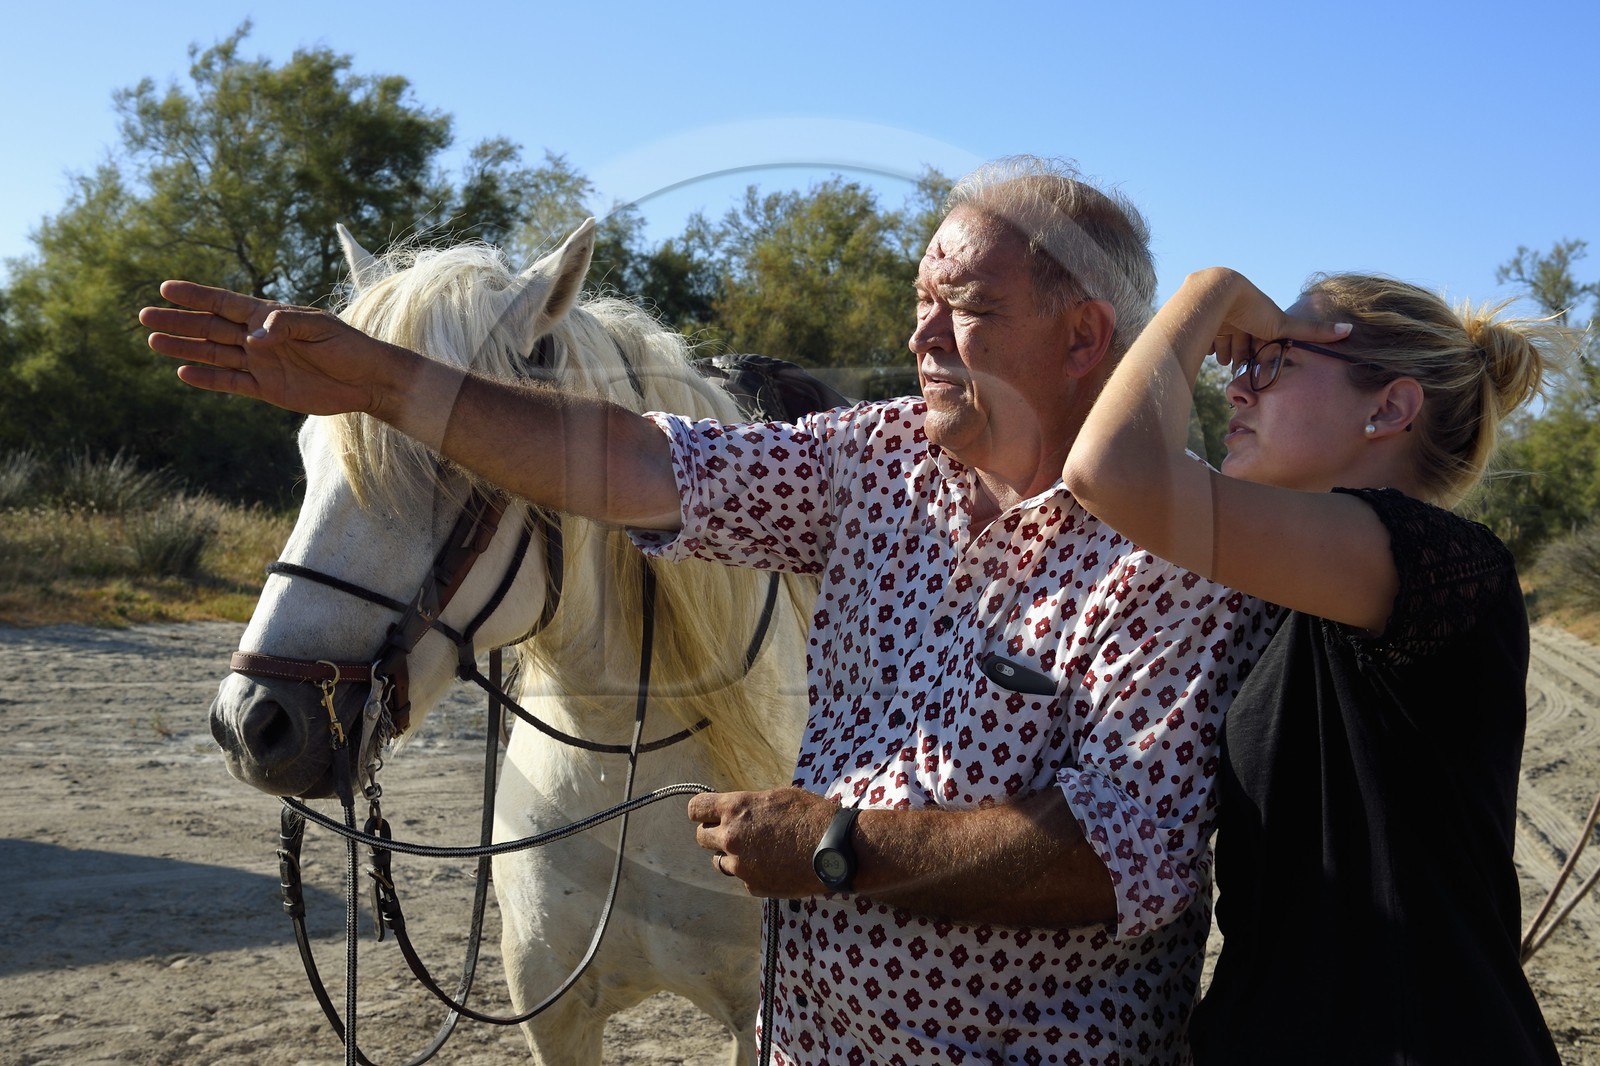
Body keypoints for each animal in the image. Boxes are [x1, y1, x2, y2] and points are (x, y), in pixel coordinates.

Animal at [206, 218, 815, 1065]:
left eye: (452, 462)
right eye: (307, 454)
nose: (252, 723)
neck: (626, 767)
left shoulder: (759, 1020)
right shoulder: (552, 1011)